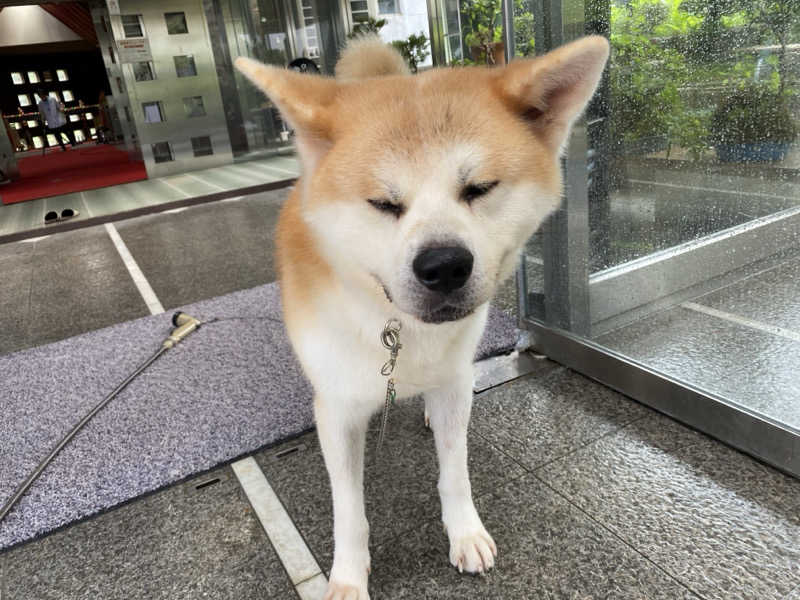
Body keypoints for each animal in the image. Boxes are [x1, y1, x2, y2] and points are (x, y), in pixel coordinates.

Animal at [234, 37, 608, 600]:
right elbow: (349, 510)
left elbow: (454, 472)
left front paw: (464, 533)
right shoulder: (339, 410)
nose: (445, 265)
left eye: (479, 188)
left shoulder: (452, 383)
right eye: (383, 203)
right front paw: (348, 577)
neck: (397, 325)